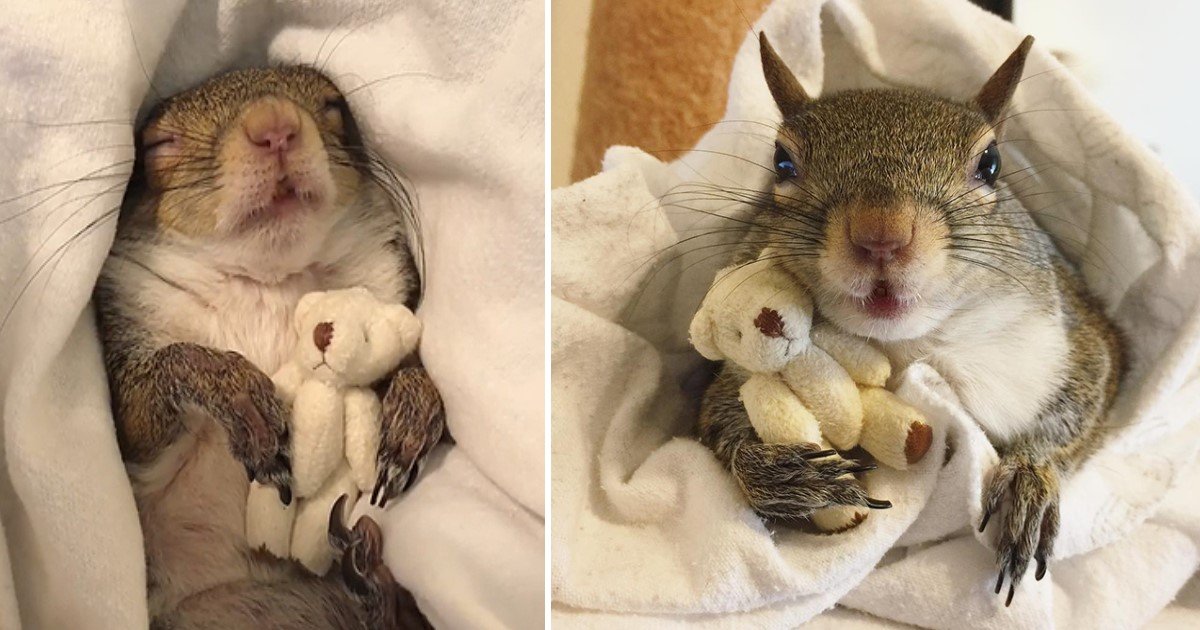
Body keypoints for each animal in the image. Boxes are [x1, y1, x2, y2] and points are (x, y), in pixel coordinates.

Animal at [96, 66, 446, 624]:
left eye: (333, 106)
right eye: (156, 144)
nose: (274, 124)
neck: (269, 282)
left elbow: (406, 364)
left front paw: (414, 407)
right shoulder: (130, 409)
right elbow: (142, 408)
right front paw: (235, 393)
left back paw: (369, 577)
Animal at [700, 33, 1118, 604]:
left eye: (991, 162)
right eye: (782, 163)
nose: (881, 233)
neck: (905, 349)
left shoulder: (1078, 339)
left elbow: (1081, 408)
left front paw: (1028, 477)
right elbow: (715, 427)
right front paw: (778, 473)